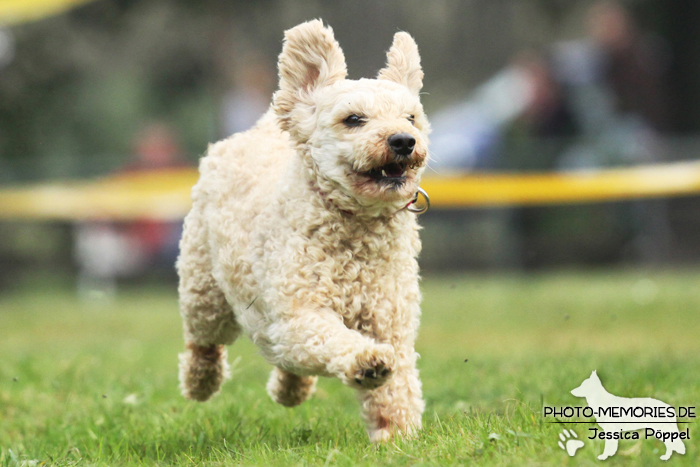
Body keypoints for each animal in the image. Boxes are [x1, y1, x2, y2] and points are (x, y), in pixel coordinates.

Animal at [178, 19, 430, 442]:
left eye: (410, 118)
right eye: (354, 119)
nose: (403, 140)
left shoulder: (391, 321)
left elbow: (397, 388)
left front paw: (398, 435)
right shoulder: (300, 312)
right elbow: (331, 338)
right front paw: (366, 360)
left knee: (287, 360)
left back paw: (291, 389)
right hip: (204, 289)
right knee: (204, 341)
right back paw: (200, 382)